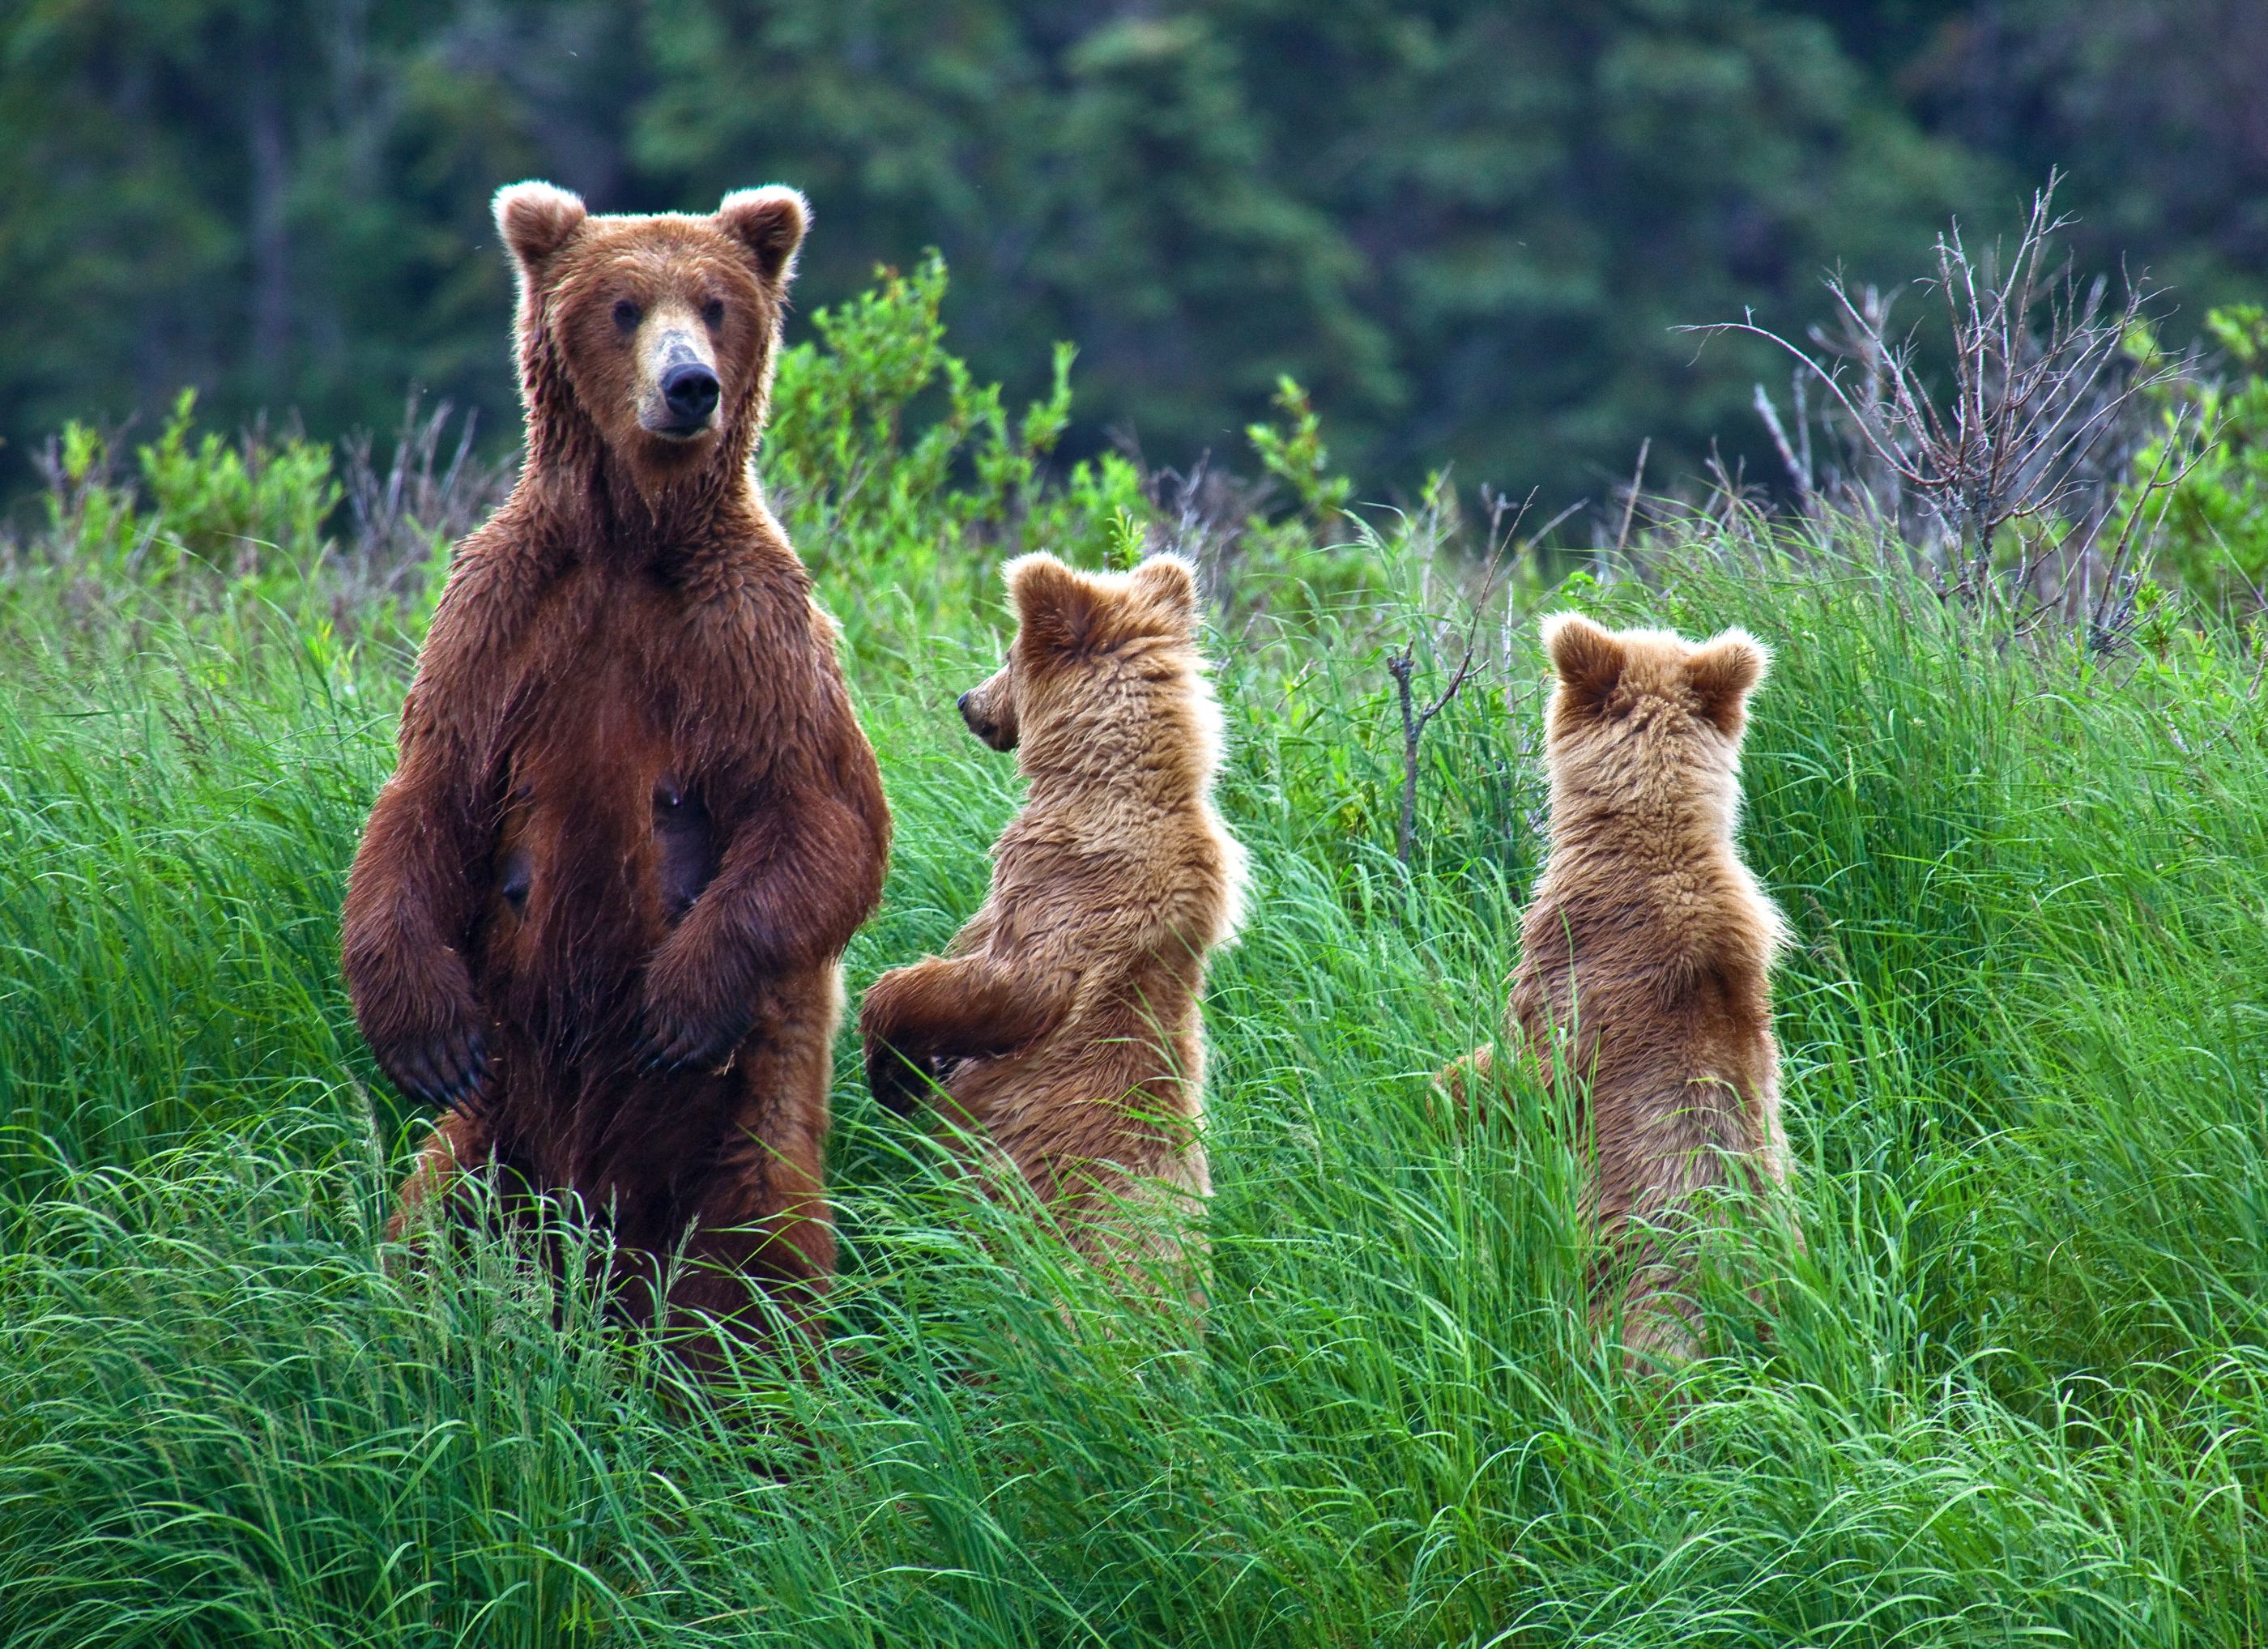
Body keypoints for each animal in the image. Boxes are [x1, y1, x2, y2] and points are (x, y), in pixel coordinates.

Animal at [340, 180, 889, 1352]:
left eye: (716, 304)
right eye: (625, 305)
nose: (690, 386)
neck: (633, 539)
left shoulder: (748, 634)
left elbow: (821, 817)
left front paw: (679, 1003)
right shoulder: (503, 618)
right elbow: (427, 798)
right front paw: (420, 1031)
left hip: (738, 1143)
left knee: (755, 1271)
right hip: (493, 1134)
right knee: (428, 1228)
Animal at [852, 556, 1243, 1288]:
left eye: (1007, 654)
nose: (967, 701)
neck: (1098, 781)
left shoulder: (1070, 888)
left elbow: (1010, 986)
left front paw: (895, 1068)